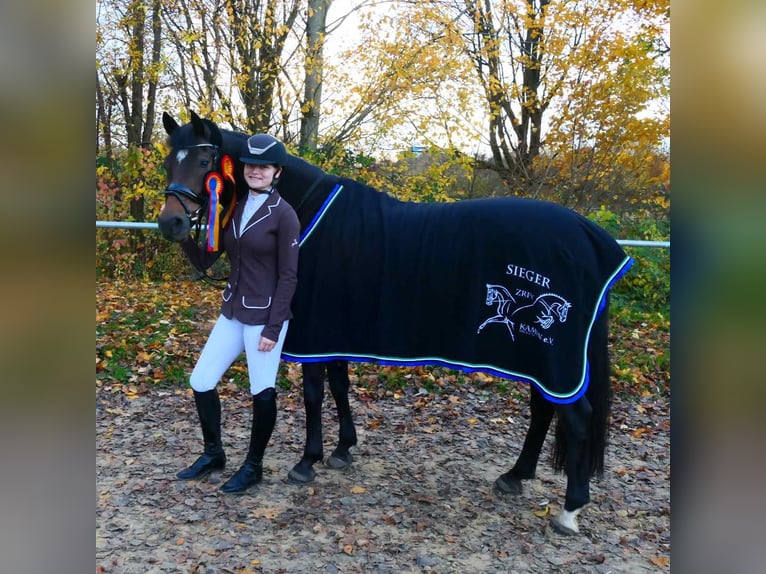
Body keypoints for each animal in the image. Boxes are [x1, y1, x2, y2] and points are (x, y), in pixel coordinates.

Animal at [158, 110, 636, 536]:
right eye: (168, 161)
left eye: (204, 162)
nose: (171, 222)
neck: (307, 214)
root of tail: (592, 239)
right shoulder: (336, 331)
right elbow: (339, 386)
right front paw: (343, 449)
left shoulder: (312, 329)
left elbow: (314, 394)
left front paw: (307, 461)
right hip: (537, 358)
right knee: (543, 410)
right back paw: (515, 476)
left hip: (551, 358)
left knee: (576, 418)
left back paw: (570, 510)